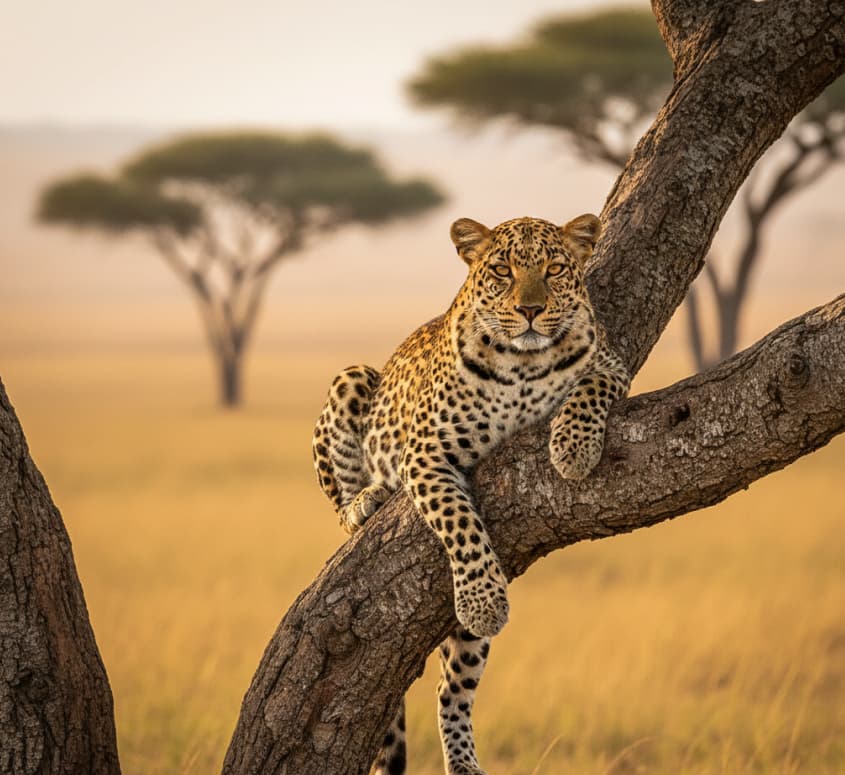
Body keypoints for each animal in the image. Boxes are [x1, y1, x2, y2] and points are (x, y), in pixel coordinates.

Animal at [312, 214, 630, 775]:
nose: (530, 310)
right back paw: (364, 503)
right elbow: (461, 525)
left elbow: (588, 388)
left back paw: (463, 762)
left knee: (451, 692)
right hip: (353, 378)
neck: (523, 368)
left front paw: (572, 448)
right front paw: (483, 599)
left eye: (554, 269)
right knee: (342, 498)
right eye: (502, 270)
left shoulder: (613, 366)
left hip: (462, 659)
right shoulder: (425, 453)